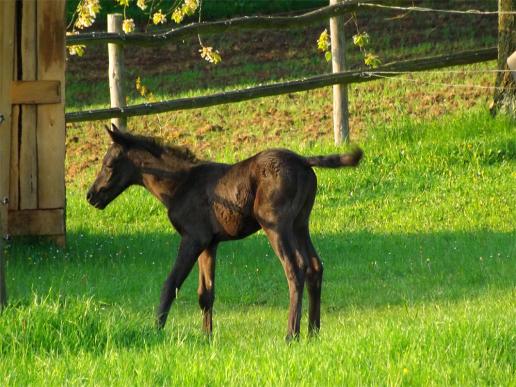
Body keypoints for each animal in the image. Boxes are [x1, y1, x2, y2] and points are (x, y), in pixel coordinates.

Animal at [87, 126, 362, 342]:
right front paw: (206, 338)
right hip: (300, 224)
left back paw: (291, 335)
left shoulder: (193, 237)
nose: (91, 196)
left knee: (296, 269)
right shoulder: (210, 243)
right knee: (315, 266)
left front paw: (156, 331)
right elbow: (205, 294)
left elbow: (171, 283)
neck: (180, 185)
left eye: (108, 164)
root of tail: (304, 161)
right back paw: (313, 333)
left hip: (276, 225)